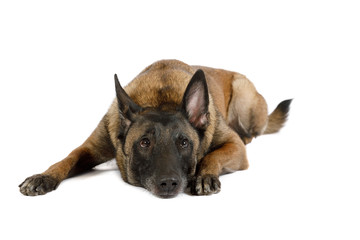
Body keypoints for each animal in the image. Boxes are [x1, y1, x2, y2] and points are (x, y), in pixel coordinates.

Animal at [18, 59, 292, 198]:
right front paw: (43, 177)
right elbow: (67, 158)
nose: (169, 183)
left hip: (245, 100)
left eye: (184, 142)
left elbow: (212, 156)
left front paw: (203, 176)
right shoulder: (90, 148)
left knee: (249, 134)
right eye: (144, 143)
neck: (162, 99)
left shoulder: (233, 147)